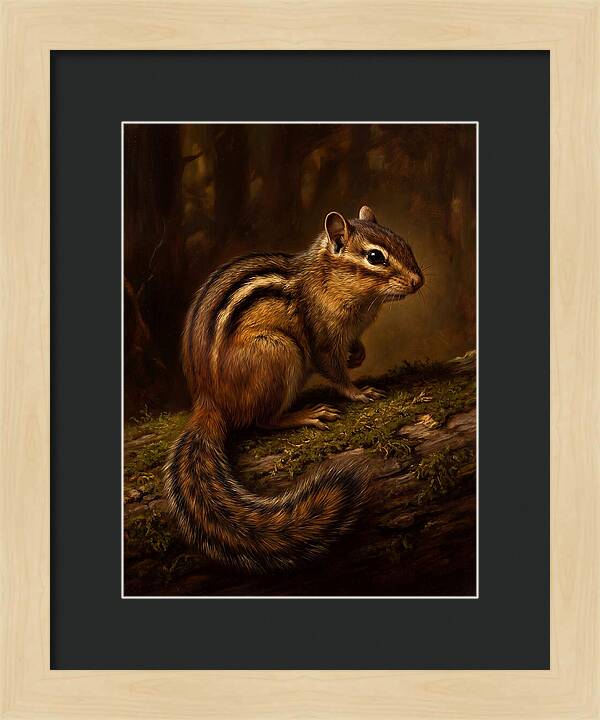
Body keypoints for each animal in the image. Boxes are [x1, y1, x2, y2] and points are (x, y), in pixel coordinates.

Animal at [164, 205, 424, 571]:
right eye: (375, 257)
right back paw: (306, 414)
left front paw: (358, 355)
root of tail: (208, 401)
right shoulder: (322, 339)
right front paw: (359, 392)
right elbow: (334, 371)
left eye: (405, 243)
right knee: (262, 420)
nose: (419, 281)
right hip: (280, 352)